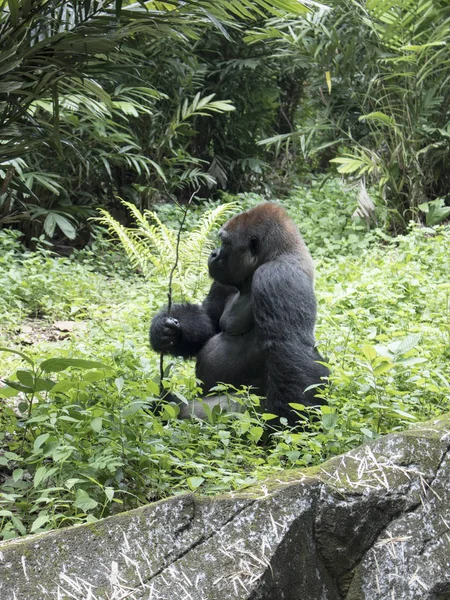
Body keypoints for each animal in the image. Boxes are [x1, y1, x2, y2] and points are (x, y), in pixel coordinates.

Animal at [149, 204, 328, 424]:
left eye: (225, 242)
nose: (213, 254)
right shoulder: (225, 281)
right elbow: (209, 321)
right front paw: (164, 331)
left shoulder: (278, 276)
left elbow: (291, 350)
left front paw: (291, 426)